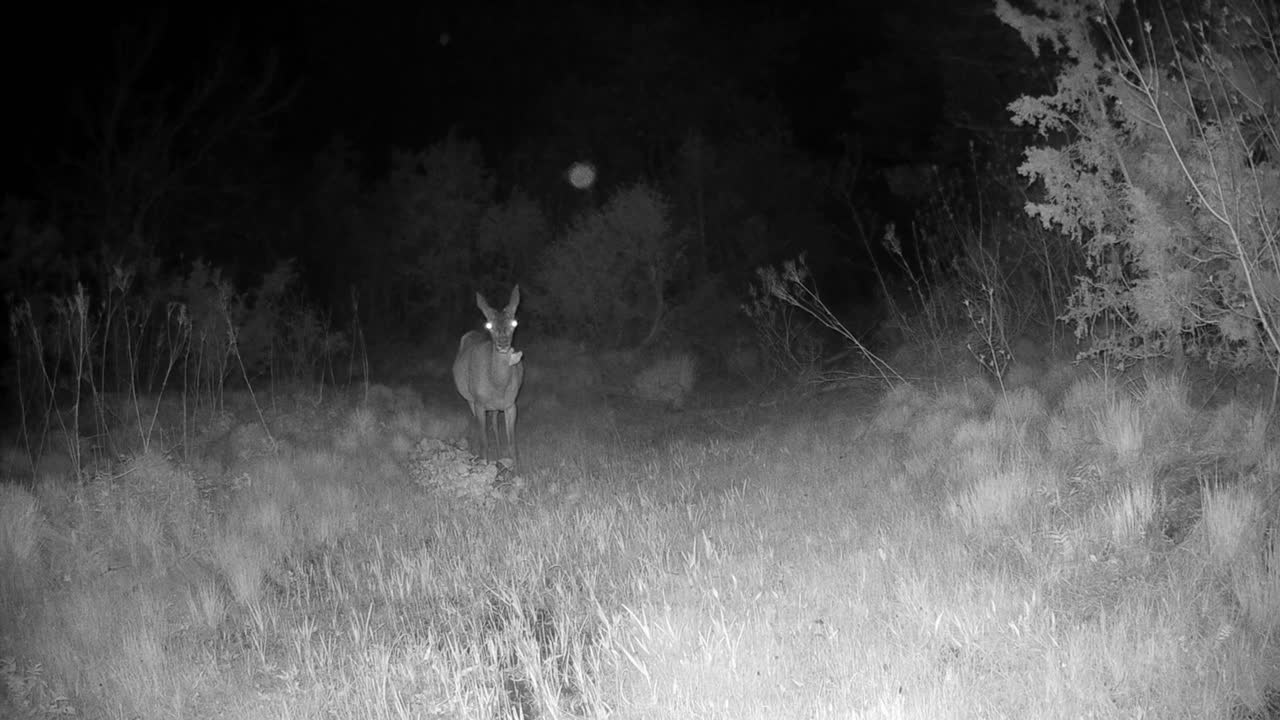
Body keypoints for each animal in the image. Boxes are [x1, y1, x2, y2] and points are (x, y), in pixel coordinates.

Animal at [452, 285, 525, 467]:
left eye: (514, 323)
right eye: (489, 324)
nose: (503, 343)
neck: (498, 386)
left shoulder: (511, 404)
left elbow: (512, 444)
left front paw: (517, 470)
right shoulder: (479, 403)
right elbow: (484, 441)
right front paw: (483, 464)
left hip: (495, 407)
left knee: (494, 423)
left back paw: (499, 455)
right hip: (470, 399)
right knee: (480, 425)